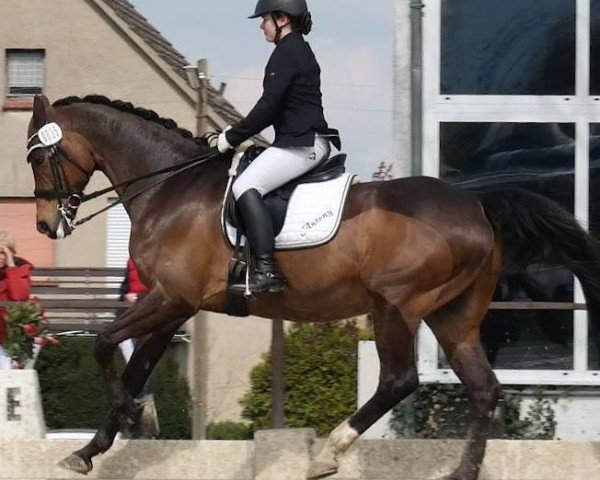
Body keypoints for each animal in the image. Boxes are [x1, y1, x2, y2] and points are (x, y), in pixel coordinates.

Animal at [27, 94, 600, 480]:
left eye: (36, 157)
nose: (46, 226)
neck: (172, 184)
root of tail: (478, 205)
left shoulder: (170, 297)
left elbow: (105, 344)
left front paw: (128, 414)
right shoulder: (175, 306)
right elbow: (136, 364)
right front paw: (91, 447)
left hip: (394, 306)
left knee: (400, 380)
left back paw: (328, 452)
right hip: (454, 318)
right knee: (484, 390)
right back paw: (460, 472)